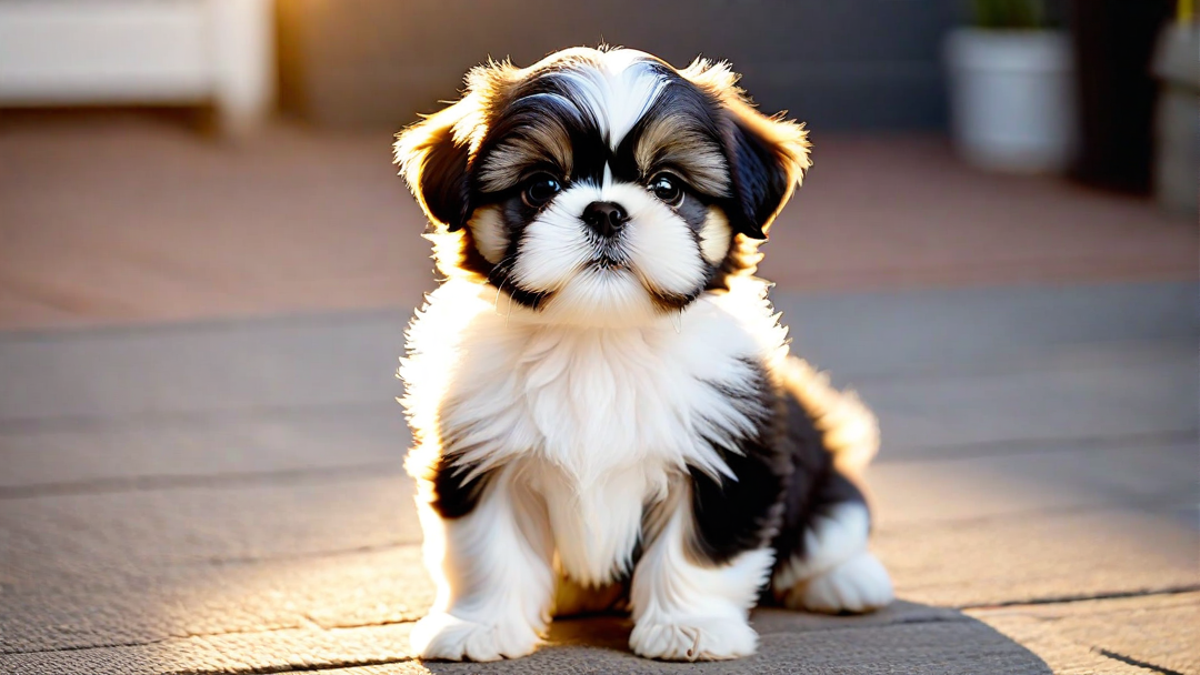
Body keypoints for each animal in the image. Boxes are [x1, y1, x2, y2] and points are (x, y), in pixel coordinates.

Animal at [393, 48, 892, 662]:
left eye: (667, 186)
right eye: (541, 186)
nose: (605, 211)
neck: (600, 337)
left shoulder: (729, 458)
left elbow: (696, 551)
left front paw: (690, 627)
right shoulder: (478, 455)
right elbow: (488, 549)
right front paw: (480, 626)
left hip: (820, 472)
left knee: (833, 525)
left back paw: (847, 579)